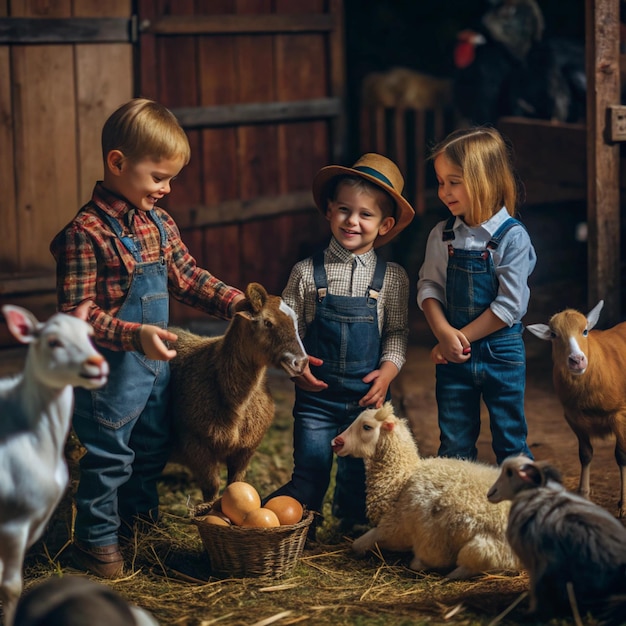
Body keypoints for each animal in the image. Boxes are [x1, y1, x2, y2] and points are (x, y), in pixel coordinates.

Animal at [169, 280, 308, 500]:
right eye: (267, 322)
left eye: (295, 322)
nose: (301, 362)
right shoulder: (196, 445)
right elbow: (212, 489)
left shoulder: (245, 451)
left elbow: (236, 485)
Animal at [332, 400, 516, 576]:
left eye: (367, 427)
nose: (336, 442)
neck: (399, 481)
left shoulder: (393, 529)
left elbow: (357, 544)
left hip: (479, 550)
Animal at [524, 300, 624, 516]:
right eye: (554, 335)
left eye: (585, 331)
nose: (577, 360)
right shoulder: (573, 417)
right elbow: (585, 454)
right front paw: (583, 494)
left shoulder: (620, 414)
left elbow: (621, 456)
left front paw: (624, 505)